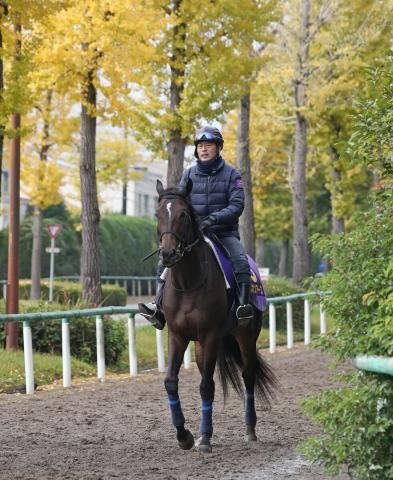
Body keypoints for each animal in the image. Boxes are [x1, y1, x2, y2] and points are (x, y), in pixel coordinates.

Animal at [149, 178, 278, 452]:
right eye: (157, 214)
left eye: (183, 214)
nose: (167, 254)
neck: (189, 282)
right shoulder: (177, 335)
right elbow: (171, 382)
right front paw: (185, 436)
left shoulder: (210, 335)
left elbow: (207, 386)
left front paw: (205, 438)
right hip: (200, 344)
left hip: (245, 336)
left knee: (248, 376)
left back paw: (250, 428)